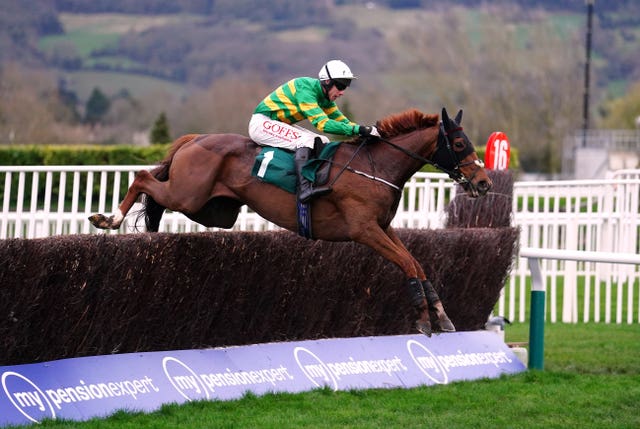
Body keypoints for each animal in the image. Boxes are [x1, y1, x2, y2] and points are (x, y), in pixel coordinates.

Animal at [89, 107, 490, 334]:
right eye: (459, 145)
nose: (484, 182)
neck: (375, 166)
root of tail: (195, 139)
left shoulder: (384, 227)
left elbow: (417, 263)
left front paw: (440, 314)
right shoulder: (363, 230)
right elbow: (407, 263)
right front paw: (424, 319)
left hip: (213, 209)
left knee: (155, 194)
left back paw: (149, 232)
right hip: (189, 195)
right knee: (143, 177)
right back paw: (109, 219)